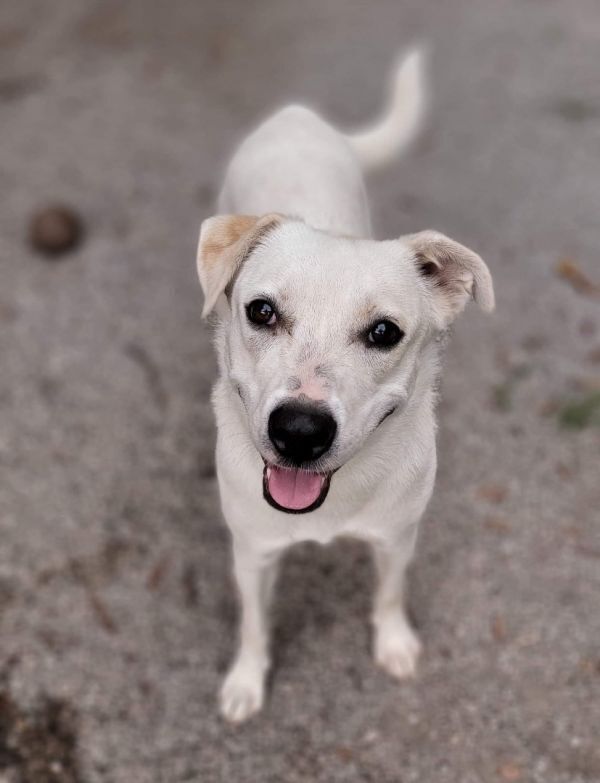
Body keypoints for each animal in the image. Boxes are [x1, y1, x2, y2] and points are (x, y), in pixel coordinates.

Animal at [197, 47, 496, 724]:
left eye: (384, 332)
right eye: (260, 312)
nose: (299, 431)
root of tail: (296, 114)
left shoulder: (397, 538)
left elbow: (389, 595)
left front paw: (395, 644)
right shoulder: (251, 553)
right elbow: (254, 625)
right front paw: (245, 681)